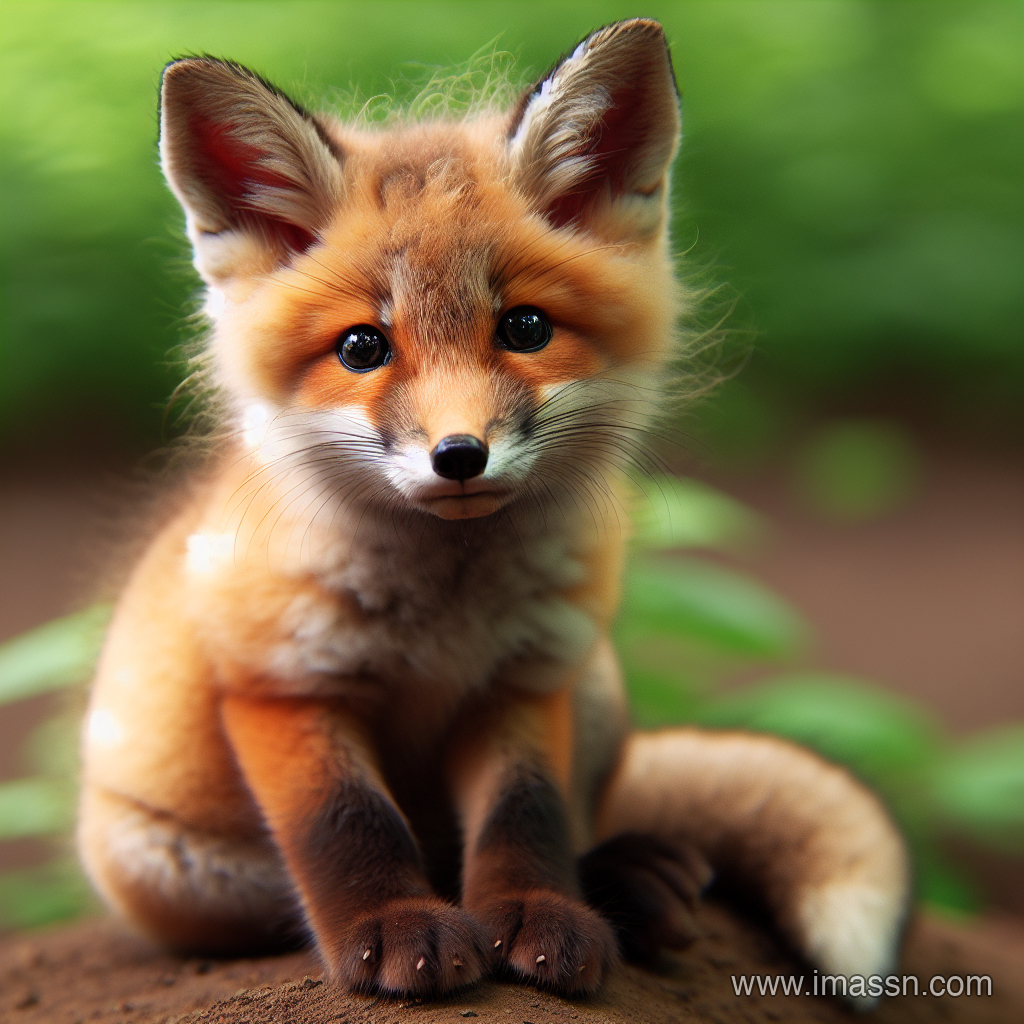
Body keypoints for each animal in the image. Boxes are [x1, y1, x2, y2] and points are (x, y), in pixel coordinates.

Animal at [77, 19, 909, 1003]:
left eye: (525, 329)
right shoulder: (283, 685)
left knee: (574, 826)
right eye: (362, 347)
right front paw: (392, 932)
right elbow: (348, 825)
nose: (459, 455)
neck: (446, 612)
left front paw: (538, 920)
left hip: (595, 684)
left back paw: (628, 879)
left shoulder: (525, 676)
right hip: (174, 868)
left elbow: (528, 816)